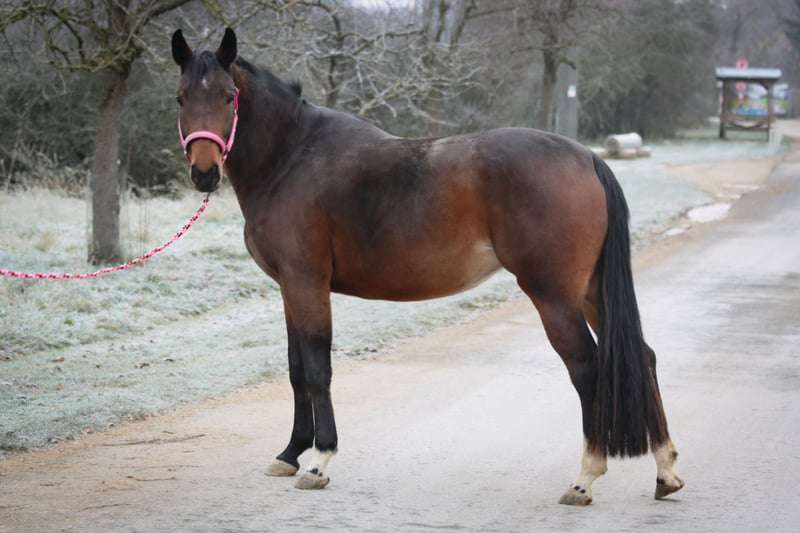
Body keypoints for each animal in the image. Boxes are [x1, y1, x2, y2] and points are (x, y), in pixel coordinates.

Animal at [171, 28, 684, 505]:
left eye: (229, 96)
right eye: (181, 97)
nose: (205, 172)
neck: (291, 158)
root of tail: (588, 157)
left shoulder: (306, 282)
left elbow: (317, 369)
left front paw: (319, 461)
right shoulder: (288, 288)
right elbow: (297, 369)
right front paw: (289, 453)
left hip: (555, 296)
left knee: (587, 367)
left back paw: (585, 477)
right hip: (591, 291)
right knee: (644, 356)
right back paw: (665, 471)